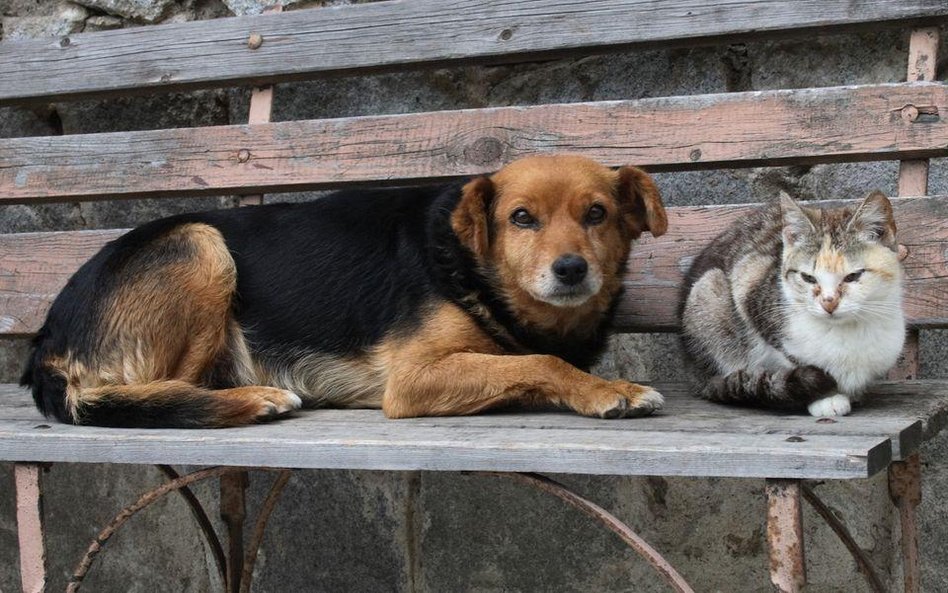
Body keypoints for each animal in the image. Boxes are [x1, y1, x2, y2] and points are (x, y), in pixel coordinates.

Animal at [20, 155, 668, 428]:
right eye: (522, 218)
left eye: (597, 214)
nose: (571, 270)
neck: (470, 263)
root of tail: (47, 338)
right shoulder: (411, 380)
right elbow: (540, 362)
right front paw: (609, 389)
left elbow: (535, 359)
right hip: (201, 246)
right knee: (145, 392)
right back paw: (253, 399)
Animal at [676, 192, 908, 414]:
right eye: (808, 278)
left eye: (853, 276)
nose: (829, 303)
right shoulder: (750, 280)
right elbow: (794, 357)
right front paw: (826, 398)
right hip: (706, 290)